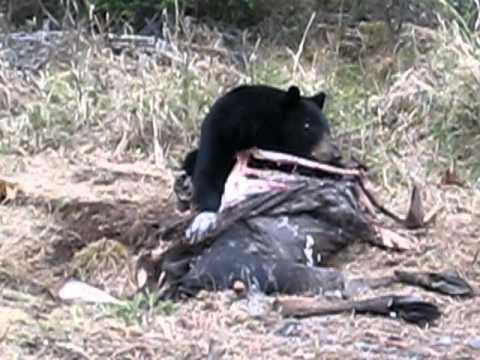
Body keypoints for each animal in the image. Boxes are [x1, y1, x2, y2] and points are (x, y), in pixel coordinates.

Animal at [186, 83, 340, 243]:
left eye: (327, 128)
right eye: (307, 125)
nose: (335, 154)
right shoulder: (223, 130)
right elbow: (210, 168)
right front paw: (203, 220)